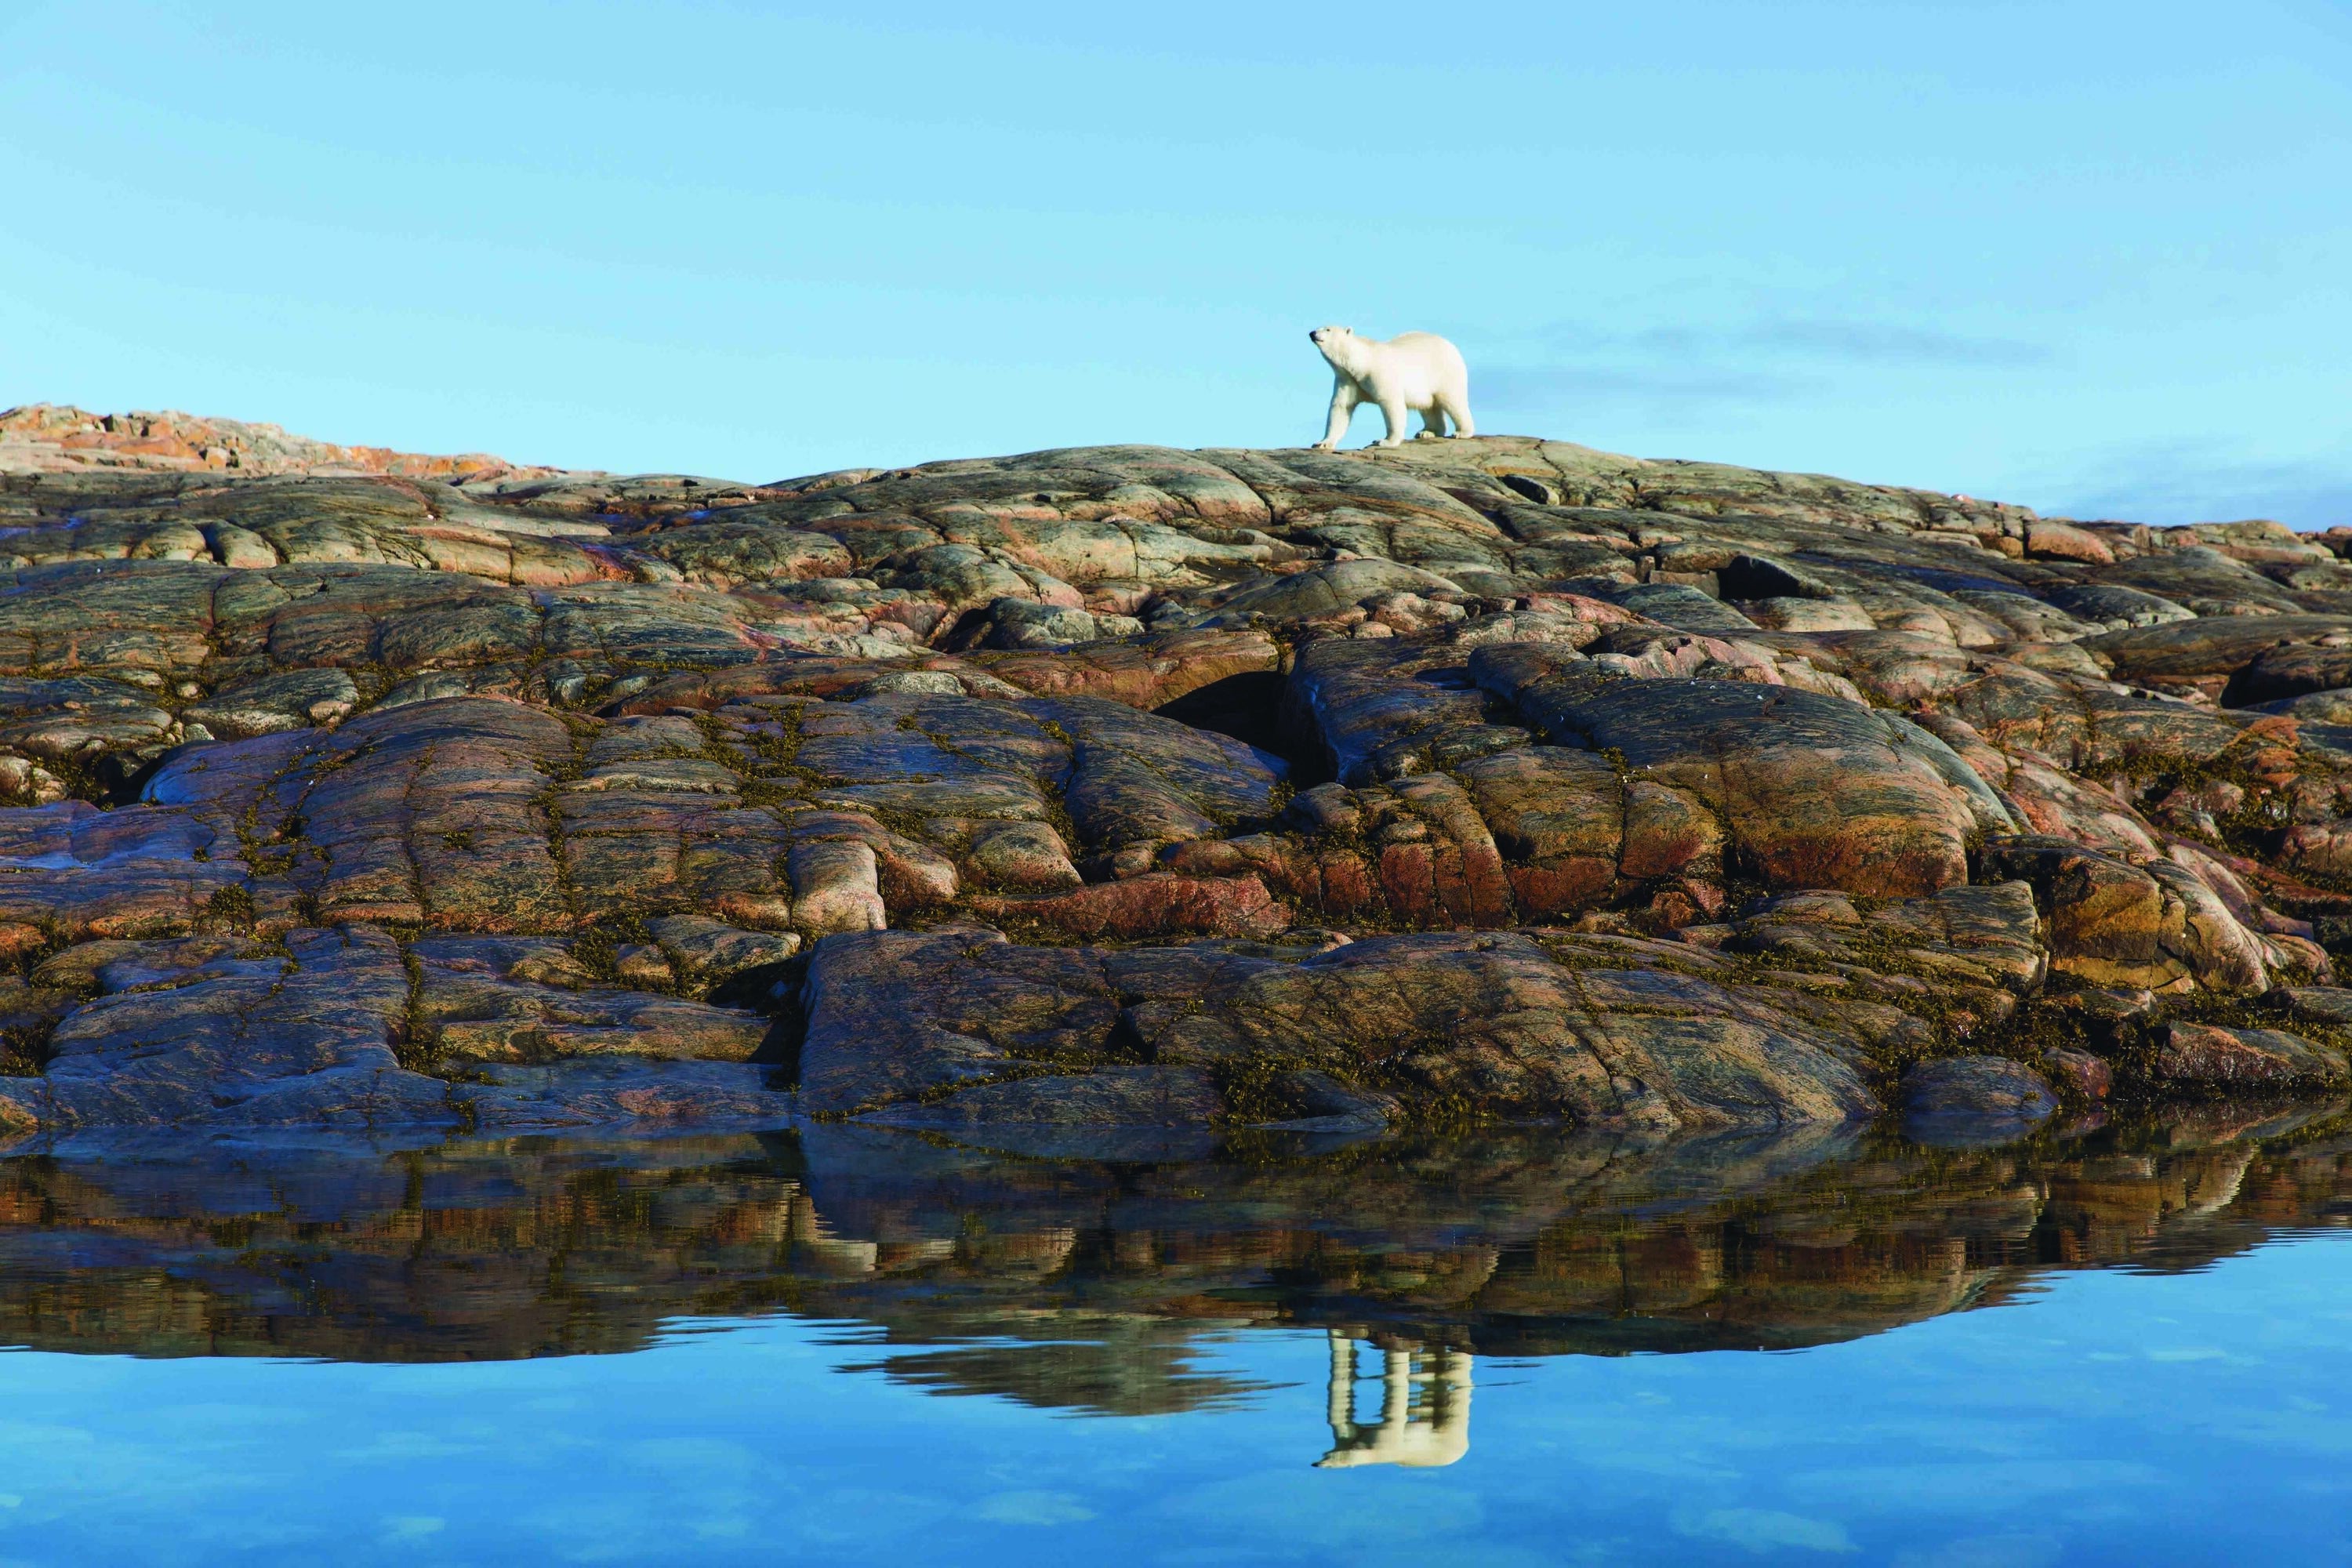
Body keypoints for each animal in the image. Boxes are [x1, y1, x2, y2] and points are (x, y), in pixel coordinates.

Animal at [1308, 326, 1474, 450]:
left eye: (1328, 329)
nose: (1312, 333)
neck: (1362, 363)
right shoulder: (1348, 380)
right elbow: (1341, 407)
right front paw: (1322, 443)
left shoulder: (1379, 374)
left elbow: (1391, 404)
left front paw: (1384, 441)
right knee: (1428, 406)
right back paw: (1427, 432)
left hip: (1445, 373)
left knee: (1453, 401)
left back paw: (1462, 432)